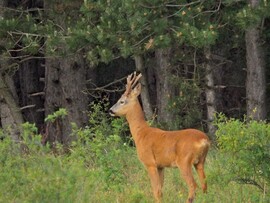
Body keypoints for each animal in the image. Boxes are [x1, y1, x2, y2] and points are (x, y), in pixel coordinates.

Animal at [108, 72, 210, 202]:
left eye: (122, 101)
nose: (110, 110)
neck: (141, 133)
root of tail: (204, 140)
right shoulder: (161, 166)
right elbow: (161, 190)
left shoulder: (150, 163)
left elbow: (156, 191)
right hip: (200, 161)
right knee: (204, 185)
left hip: (184, 161)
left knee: (193, 185)